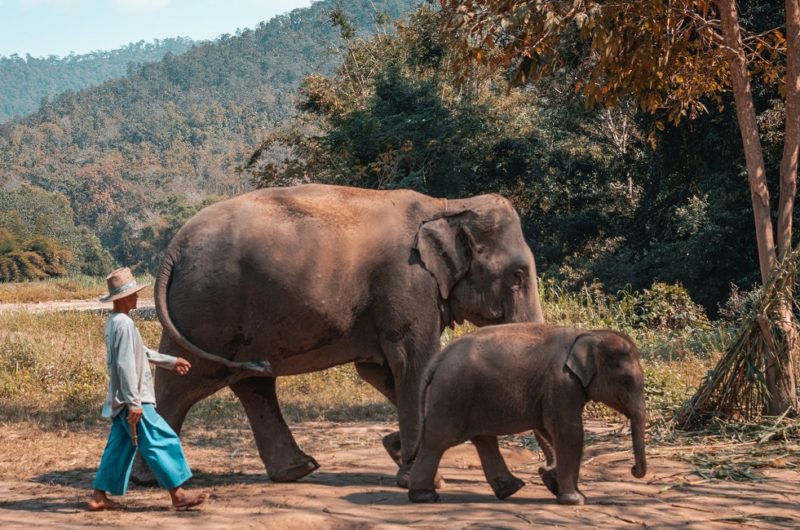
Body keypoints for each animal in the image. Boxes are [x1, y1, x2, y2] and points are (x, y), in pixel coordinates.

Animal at [146, 183, 544, 482]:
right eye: (517, 276)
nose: (544, 474)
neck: (448, 205)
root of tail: (173, 250)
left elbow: (380, 371)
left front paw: (397, 450)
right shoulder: (408, 285)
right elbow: (414, 365)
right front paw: (417, 473)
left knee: (251, 383)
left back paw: (297, 470)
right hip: (208, 309)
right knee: (184, 381)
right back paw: (151, 479)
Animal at [410, 322, 648, 504]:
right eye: (626, 381)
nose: (633, 468)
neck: (586, 334)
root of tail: (437, 360)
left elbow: (549, 430)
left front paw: (555, 483)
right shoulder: (562, 382)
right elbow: (569, 431)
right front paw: (575, 500)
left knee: (483, 439)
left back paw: (510, 489)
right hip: (451, 395)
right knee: (437, 441)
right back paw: (424, 496)